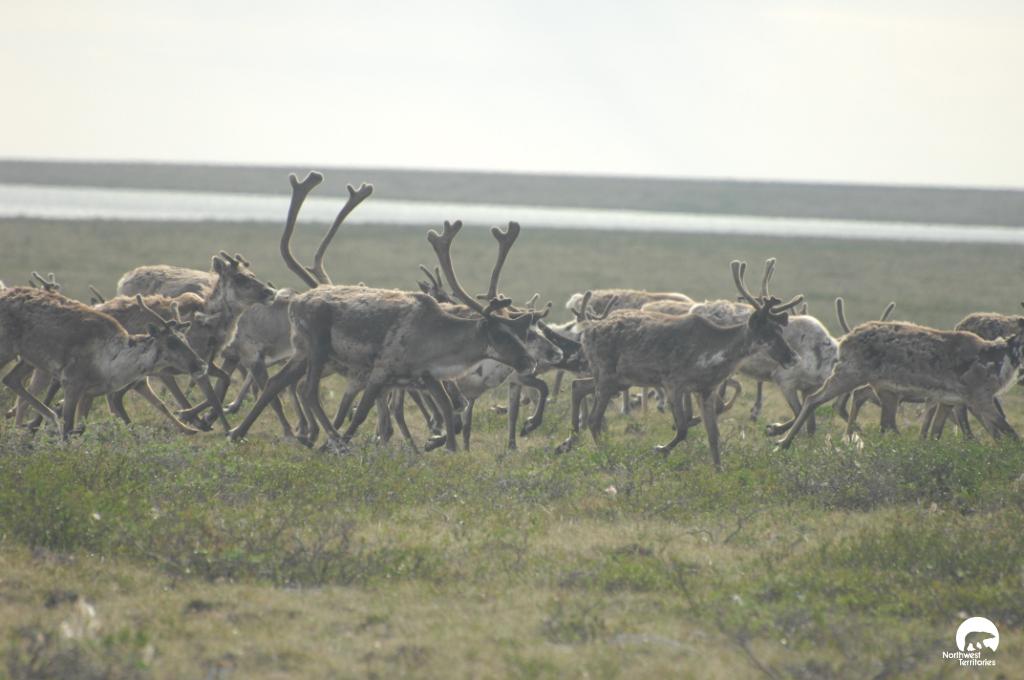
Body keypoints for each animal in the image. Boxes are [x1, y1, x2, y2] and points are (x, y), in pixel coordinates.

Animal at [0, 288, 215, 438]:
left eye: (185, 338)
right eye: (171, 342)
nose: (201, 364)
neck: (113, 362)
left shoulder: (90, 392)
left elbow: (80, 428)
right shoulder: (72, 384)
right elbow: (69, 428)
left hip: (27, 358)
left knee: (11, 380)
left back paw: (46, 419)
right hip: (8, 351)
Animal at [557, 261, 802, 469]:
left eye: (780, 329)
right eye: (768, 333)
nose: (792, 357)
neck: (714, 353)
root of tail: (587, 330)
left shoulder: (706, 390)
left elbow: (713, 435)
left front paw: (719, 471)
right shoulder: (673, 384)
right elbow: (683, 429)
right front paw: (660, 449)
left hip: (618, 380)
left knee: (578, 386)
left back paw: (567, 442)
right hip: (607, 377)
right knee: (594, 419)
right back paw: (605, 458)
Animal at [776, 315, 1024, 448]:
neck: (999, 359)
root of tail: (845, 339)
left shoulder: (951, 401)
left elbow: (939, 431)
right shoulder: (979, 398)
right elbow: (1008, 430)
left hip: (873, 385)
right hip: (849, 374)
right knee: (814, 399)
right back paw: (783, 443)